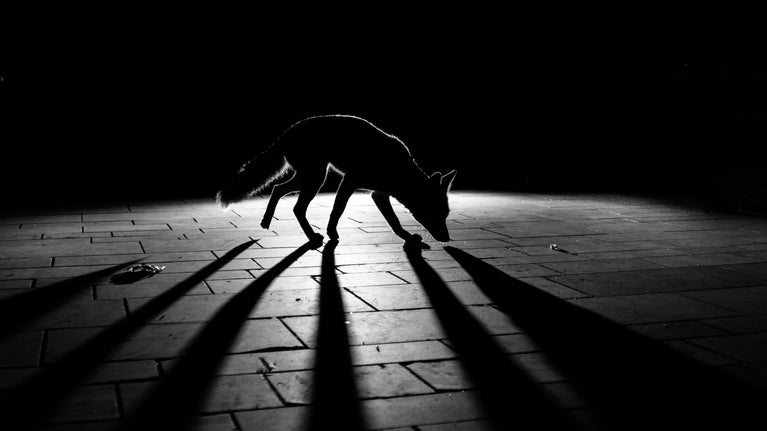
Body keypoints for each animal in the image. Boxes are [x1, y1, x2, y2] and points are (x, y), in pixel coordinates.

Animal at [216, 114, 456, 245]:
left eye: (445, 215)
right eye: (435, 213)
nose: (447, 238)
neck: (398, 171)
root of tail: (288, 131)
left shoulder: (378, 194)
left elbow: (394, 221)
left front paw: (406, 238)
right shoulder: (350, 181)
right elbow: (337, 210)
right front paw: (332, 233)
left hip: (308, 178)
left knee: (276, 189)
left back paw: (267, 221)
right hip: (315, 179)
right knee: (296, 207)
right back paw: (312, 237)